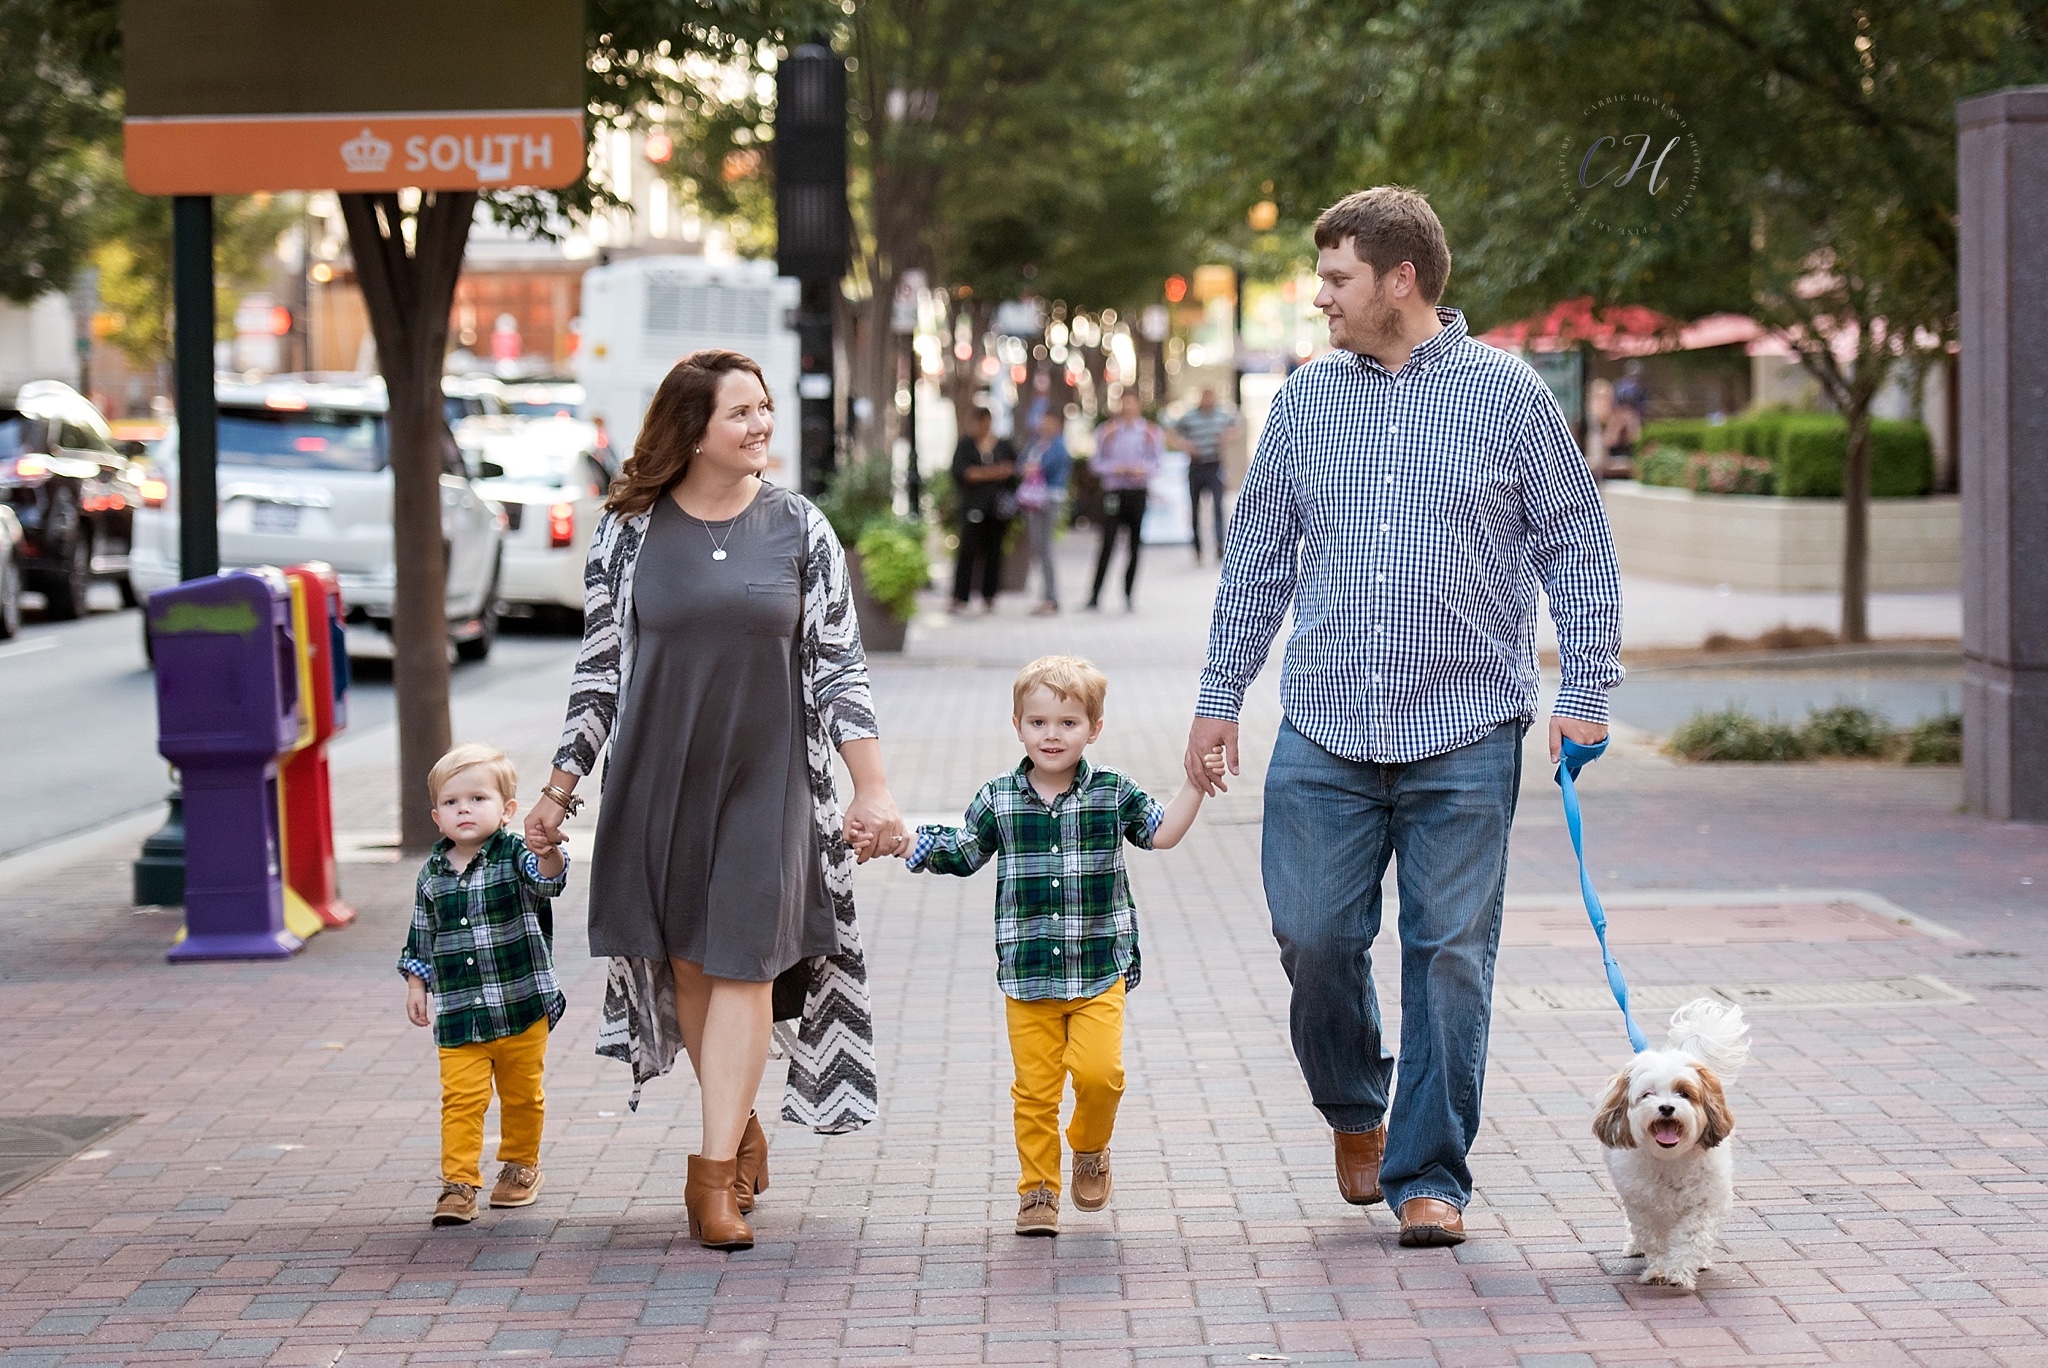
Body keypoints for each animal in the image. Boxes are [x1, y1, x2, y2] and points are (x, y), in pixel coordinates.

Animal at [1589, 999, 1753, 1286]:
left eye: (1684, 1093)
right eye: (1647, 1094)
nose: (1666, 1107)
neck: (1670, 1159)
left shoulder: (1706, 1201)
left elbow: (1692, 1236)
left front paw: (1681, 1269)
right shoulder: (1642, 1206)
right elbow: (1655, 1238)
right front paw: (1658, 1269)